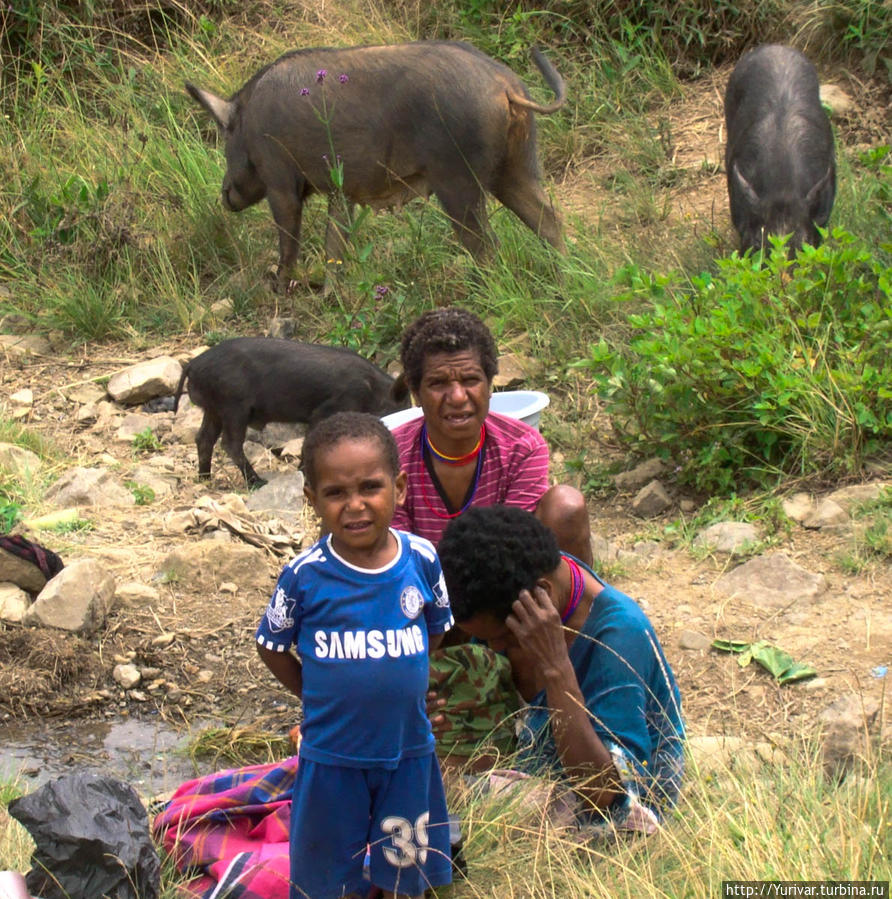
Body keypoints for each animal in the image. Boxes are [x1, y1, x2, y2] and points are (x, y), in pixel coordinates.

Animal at [172, 336, 410, 486]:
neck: (373, 391)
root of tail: (193, 363)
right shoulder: (325, 410)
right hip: (233, 406)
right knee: (229, 444)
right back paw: (257, 482)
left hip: (213, 409)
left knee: (204, 438)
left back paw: (205, 478)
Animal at [186, 42, 564, 292]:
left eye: (225, 138)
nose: (224, 194)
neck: (249, 121)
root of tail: (504, 85)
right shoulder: (341, 190)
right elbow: (335, 242)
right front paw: (329, 295)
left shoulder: (279, 179)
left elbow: (290, 237)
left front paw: (278, 287)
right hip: (517, 165)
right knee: (549, 221)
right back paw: (565, 274)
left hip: (459, 180)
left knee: (487, 244)